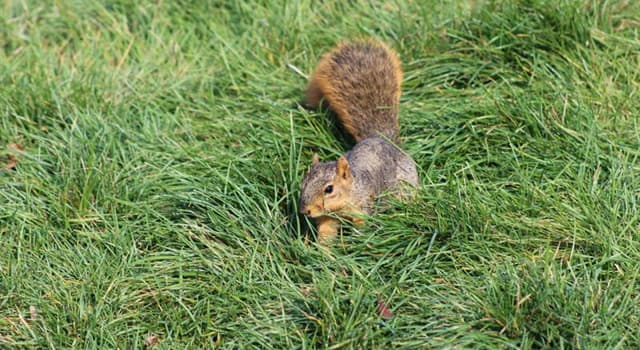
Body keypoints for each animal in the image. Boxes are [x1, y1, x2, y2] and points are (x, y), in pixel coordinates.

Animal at [300, 39, 420, 243]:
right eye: (303, 183)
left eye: (329, 189)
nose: (305, 211)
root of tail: (382, 138)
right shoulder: (327, 218)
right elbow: (326, 234)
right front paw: (318, 250)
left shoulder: (364, 207)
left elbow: (362, 229)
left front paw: (357, 245)